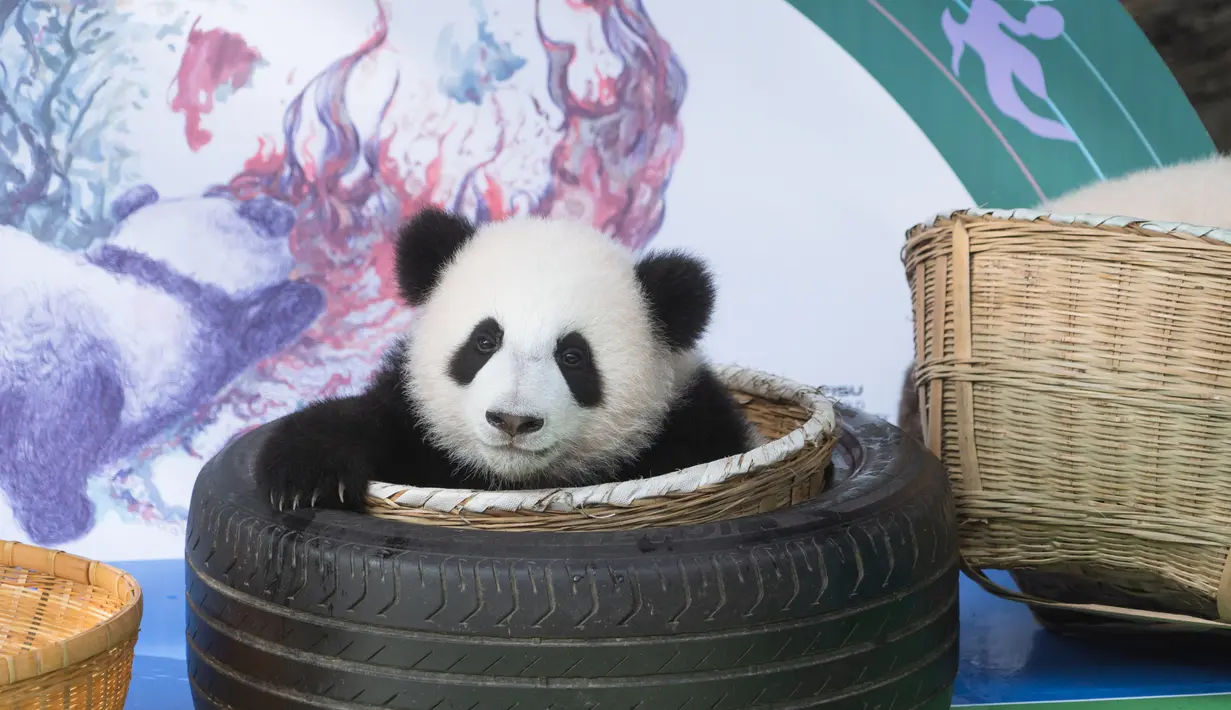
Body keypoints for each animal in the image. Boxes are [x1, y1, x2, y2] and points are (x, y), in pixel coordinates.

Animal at [257, 207, 758, 511]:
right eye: (484, 342)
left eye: (573, 356)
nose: (513, 421)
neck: (510, 480)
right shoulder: (414, 420)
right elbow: (361, 417)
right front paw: (308, 479)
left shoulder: (690, 426)